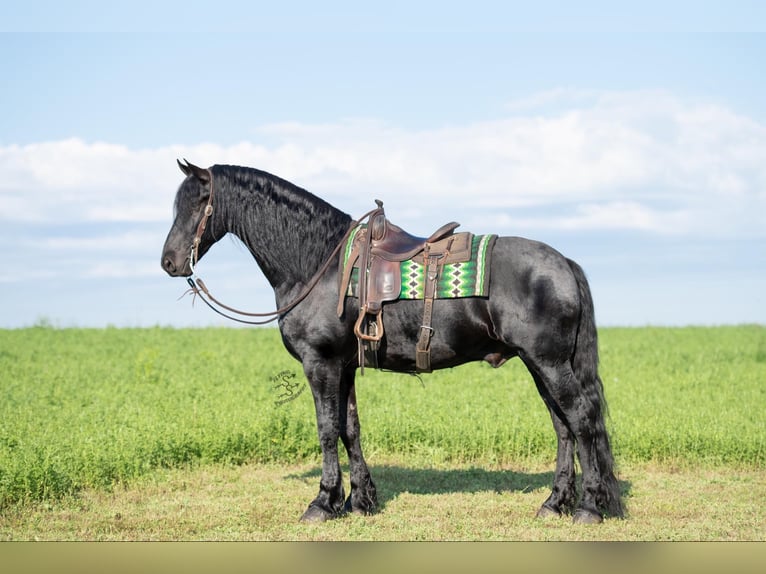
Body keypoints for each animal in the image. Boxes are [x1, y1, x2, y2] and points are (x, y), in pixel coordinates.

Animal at [160, 161, 624, 528]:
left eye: (198, 204)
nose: (169, 262)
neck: (319, 264)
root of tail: (564, 263)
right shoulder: (344, 366)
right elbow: (349, 429)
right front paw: (359, 500)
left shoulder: (320, 363)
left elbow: (327, 430)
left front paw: (323, 502)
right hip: (539, 364)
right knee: (564, 428)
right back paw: (554, 503)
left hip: (549, 362)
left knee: (581, 420)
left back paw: (587, 507)